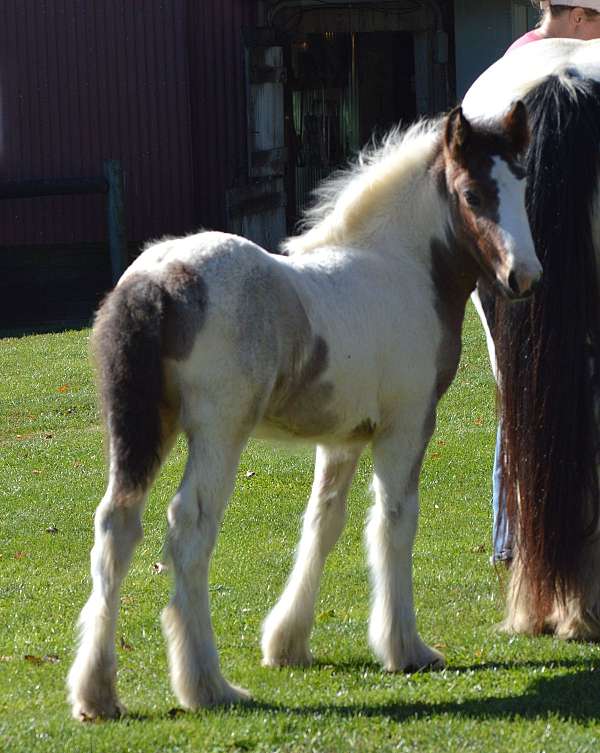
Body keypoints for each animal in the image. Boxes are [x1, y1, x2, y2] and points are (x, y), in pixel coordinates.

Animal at [67, 103, 540, 720]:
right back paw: (207, 684)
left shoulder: (342, 438)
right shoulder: (407, 424)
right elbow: (393, 522)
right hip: (219, 431)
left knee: (115, 526)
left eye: (522, 184)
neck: (402, 268)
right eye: (473, 193)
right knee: (189, 528)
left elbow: (323, 522)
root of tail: (157, 281)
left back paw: (97, 692)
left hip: (142, 428)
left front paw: (286, 642)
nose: (523, 277)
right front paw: (406, 647)